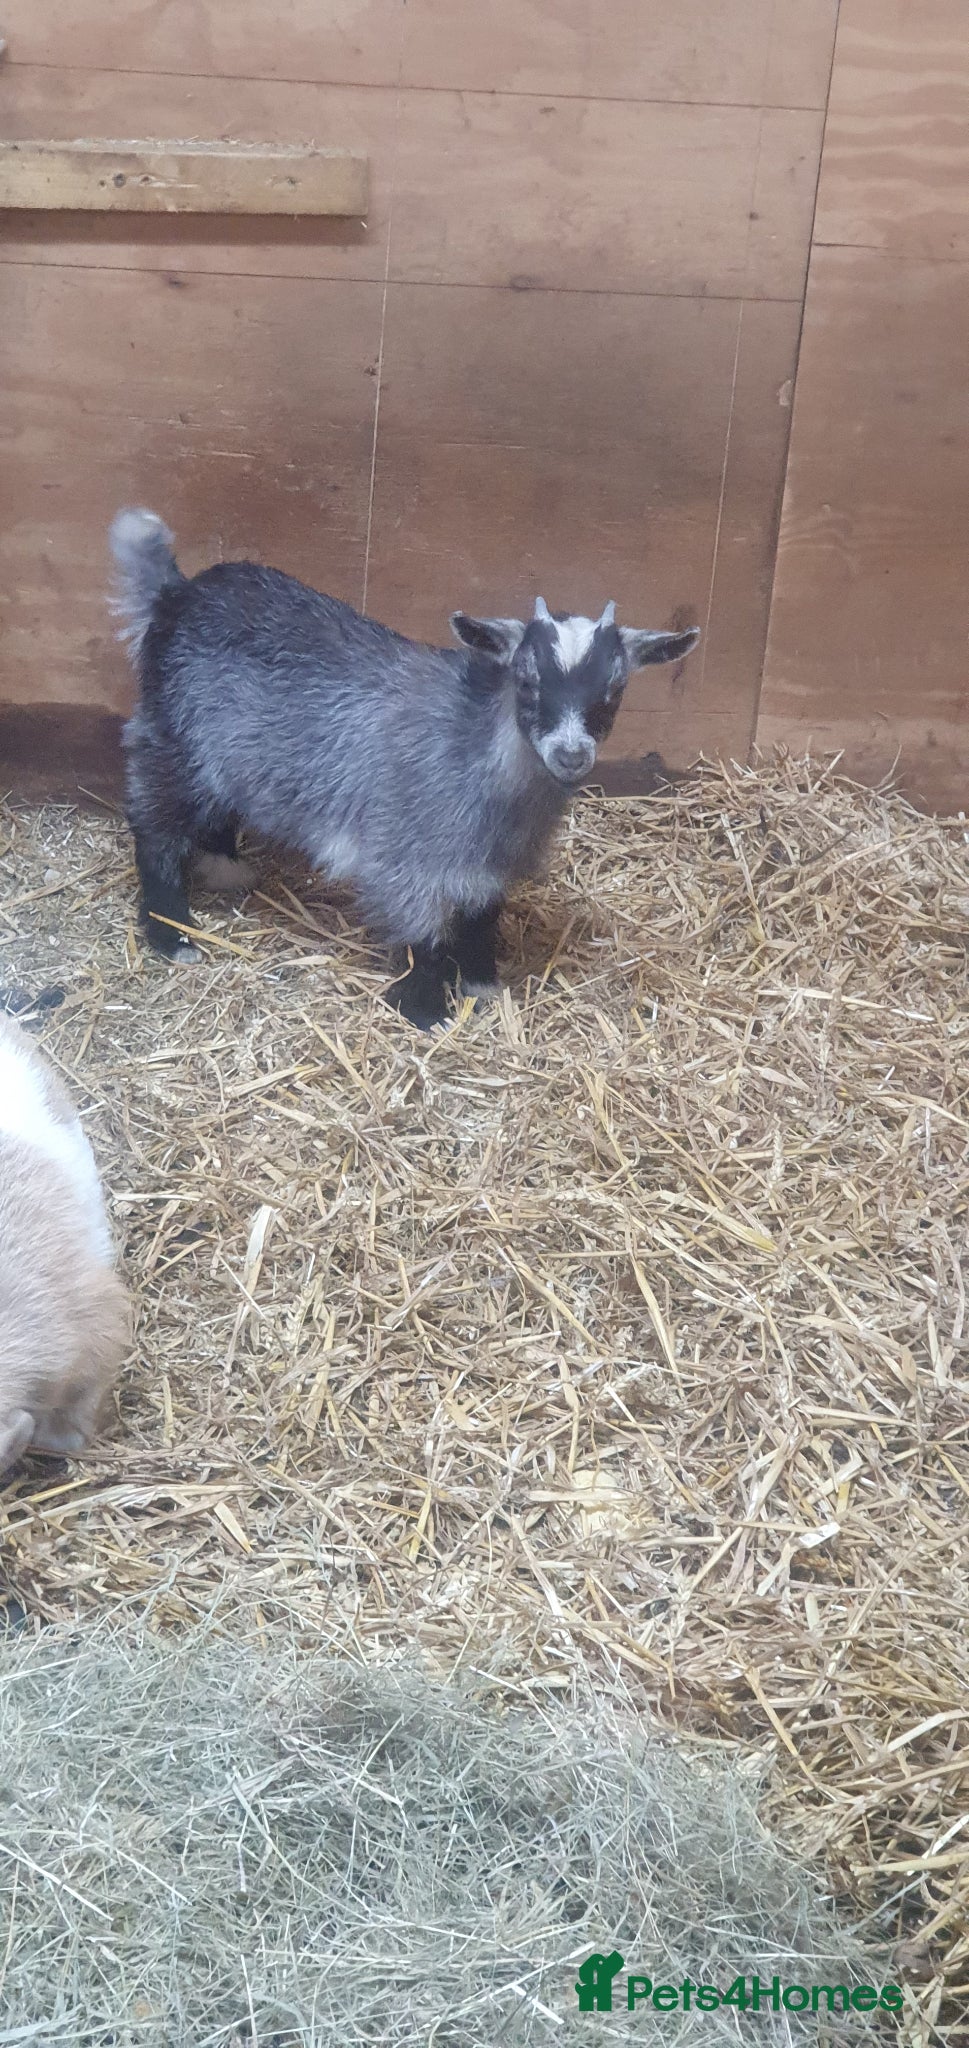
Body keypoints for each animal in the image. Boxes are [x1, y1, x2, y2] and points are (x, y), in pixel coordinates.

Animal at [110, 509, 699, 1028]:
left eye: (613, 693)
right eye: (527, 681)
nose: (572, 755)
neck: (476, 750)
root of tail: (175, 593)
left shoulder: (488, 866)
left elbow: (481, 919)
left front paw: (481, 984)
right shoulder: (406, 854)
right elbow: (424, 936)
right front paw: (426, 1011)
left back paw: (224, 868)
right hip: (173, 740)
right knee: (155, 826)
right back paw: (172, 933)